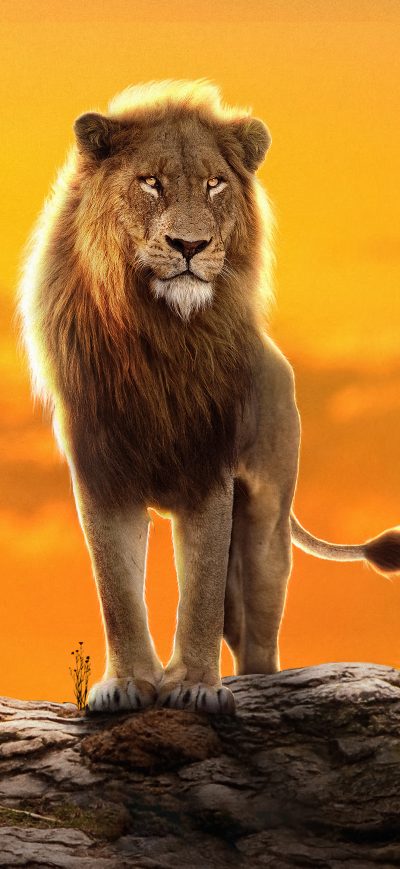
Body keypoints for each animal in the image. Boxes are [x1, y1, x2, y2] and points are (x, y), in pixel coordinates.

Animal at [18, 79, 400, 715]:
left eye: (214, 184)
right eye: (150, 182)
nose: (190, 245)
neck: (160, 335)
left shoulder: (207, 471)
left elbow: (198, 590)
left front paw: (196, 686)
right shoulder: (101, 473)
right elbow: (117, 589)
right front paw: (128, 684)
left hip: (267, 524)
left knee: (257, 629)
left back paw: (260, 685)